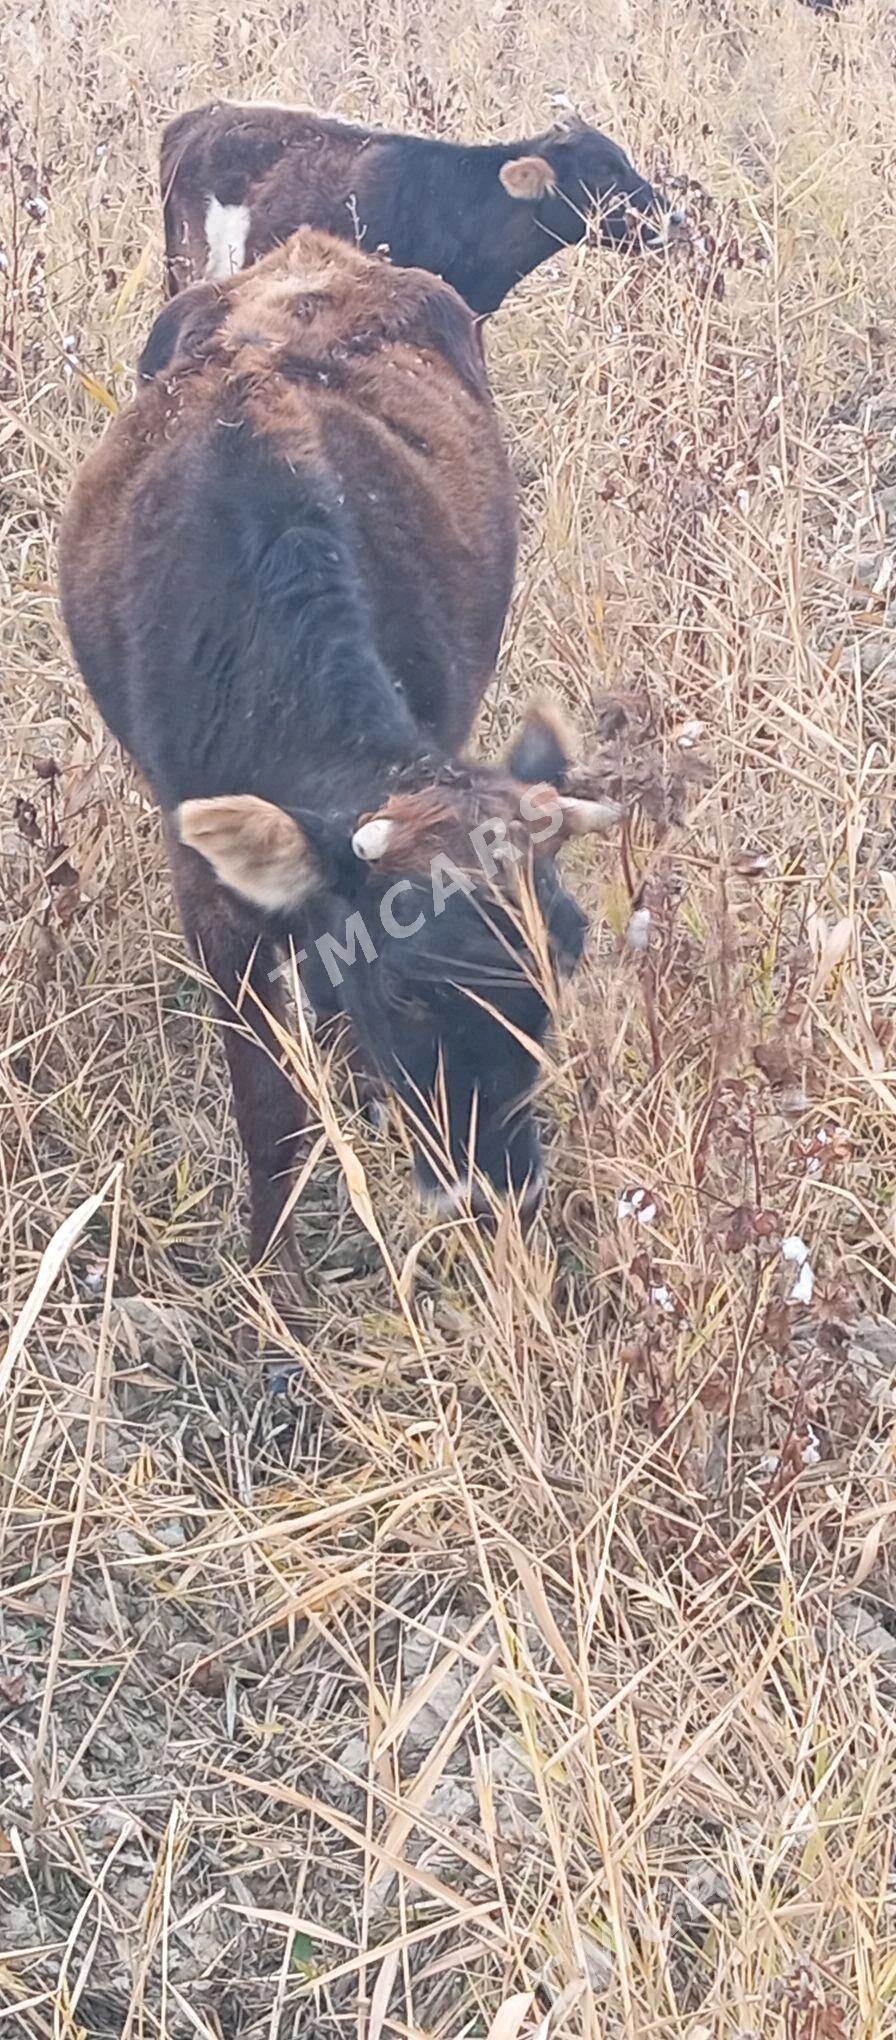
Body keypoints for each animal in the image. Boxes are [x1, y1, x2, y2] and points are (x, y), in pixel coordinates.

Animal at [59, 231, 620, 1289]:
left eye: (562, 968)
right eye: (405, 990)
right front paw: (271, 1271)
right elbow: (267, 1109)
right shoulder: (211, 905)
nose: (496, 1191)